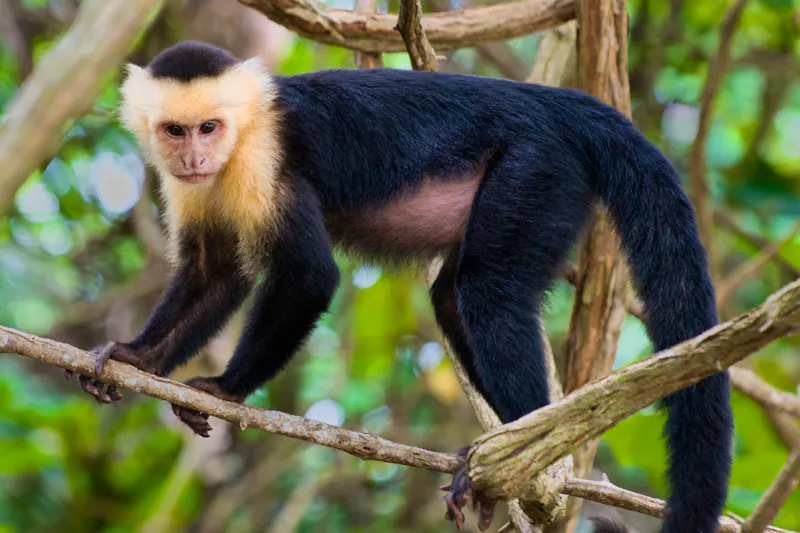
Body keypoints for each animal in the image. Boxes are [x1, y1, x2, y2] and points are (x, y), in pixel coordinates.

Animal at [71, 41, 733, 533]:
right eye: (175, 131)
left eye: (210, 127)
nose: (193, 157)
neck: (240, 141)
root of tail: (554, 103)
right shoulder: (191, 185)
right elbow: (215, 275)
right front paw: (139, 356)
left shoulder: (265, 161)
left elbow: (310, 279)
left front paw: (226, 388)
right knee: (454, 298)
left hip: (537, 165)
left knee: (488, 295)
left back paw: (520, 460)